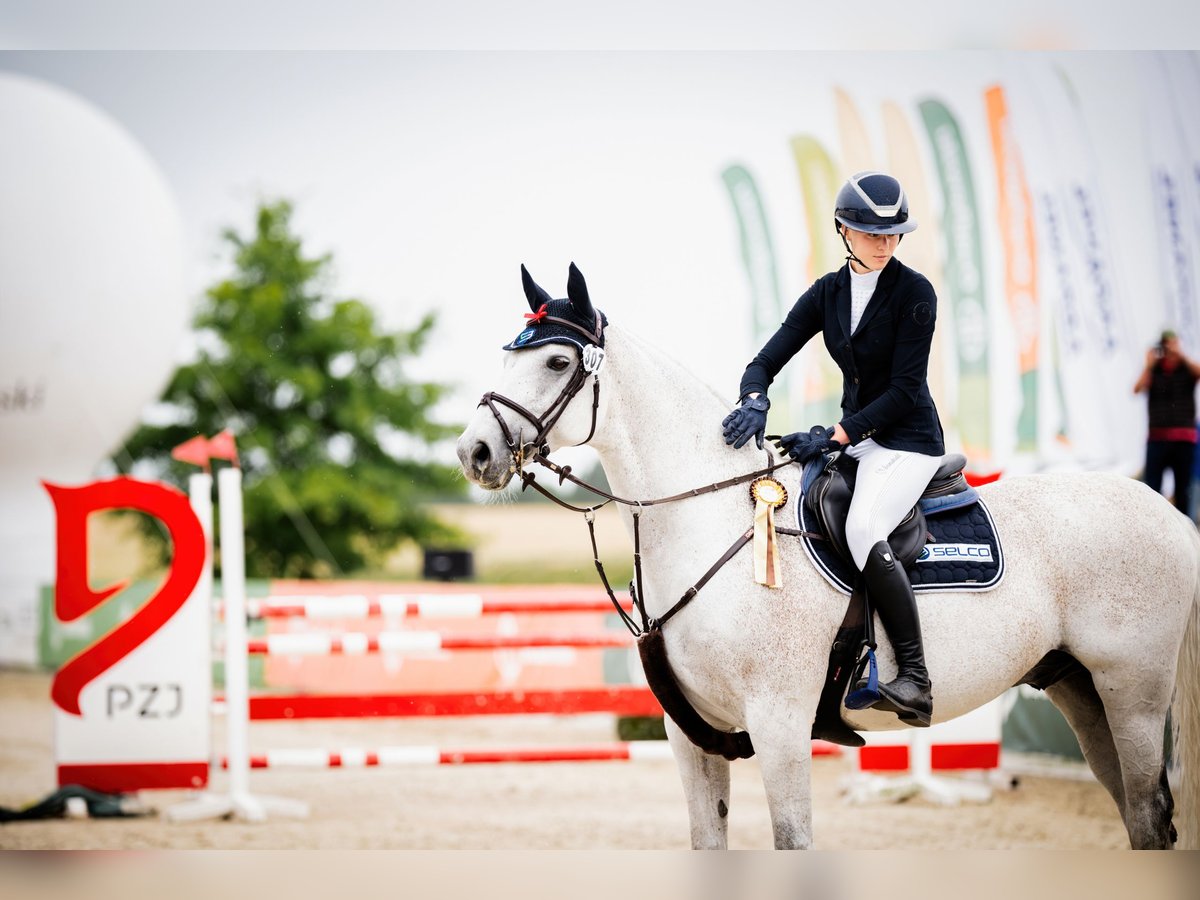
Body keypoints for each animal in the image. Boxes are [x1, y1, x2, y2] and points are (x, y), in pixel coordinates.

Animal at [453, 264, 1195, 849]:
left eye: (557, 363)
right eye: (505, 358)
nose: (474, 452)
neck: (707, 515)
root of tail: (1170, 515)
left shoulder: (779, 723)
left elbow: (793, 840)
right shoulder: (691, 735)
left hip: (1131, 690)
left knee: (1149, 809)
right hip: (1078, 685)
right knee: (1139, 816)